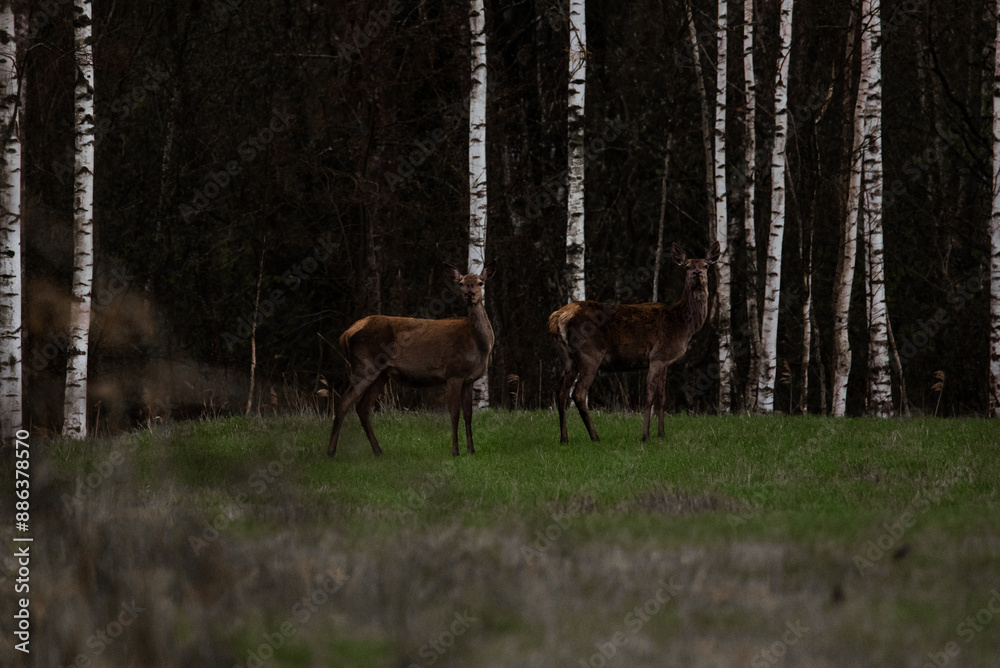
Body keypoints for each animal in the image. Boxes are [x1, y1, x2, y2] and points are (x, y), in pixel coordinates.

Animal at [327, 261, 497, 457]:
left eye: (480, 283)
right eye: (461, 283)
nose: (469, 294)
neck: (479, 345)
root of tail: (346, 334)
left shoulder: (469, 380)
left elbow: (469, 414)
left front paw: (471, 450)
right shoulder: (453, 373)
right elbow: (454, 413)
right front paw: (455, 451)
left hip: (381, 374)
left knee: (362, 408)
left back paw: (378, 451)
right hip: (363, 365)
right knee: (343, 403)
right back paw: (331, 451)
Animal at [549, 241, 720, 443]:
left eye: (705, 265)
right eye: (687, 266)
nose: (697, 273)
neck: (682, 324)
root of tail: (558, 317)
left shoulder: (665, 361)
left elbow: (662, 397)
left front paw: (661, 434)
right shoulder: (657, 356)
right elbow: (649, 396)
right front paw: (645, 435)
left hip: (568, 357)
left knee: (560, 391)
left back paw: (564, 438)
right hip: (590, 353)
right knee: (579, 393)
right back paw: (595, 436)